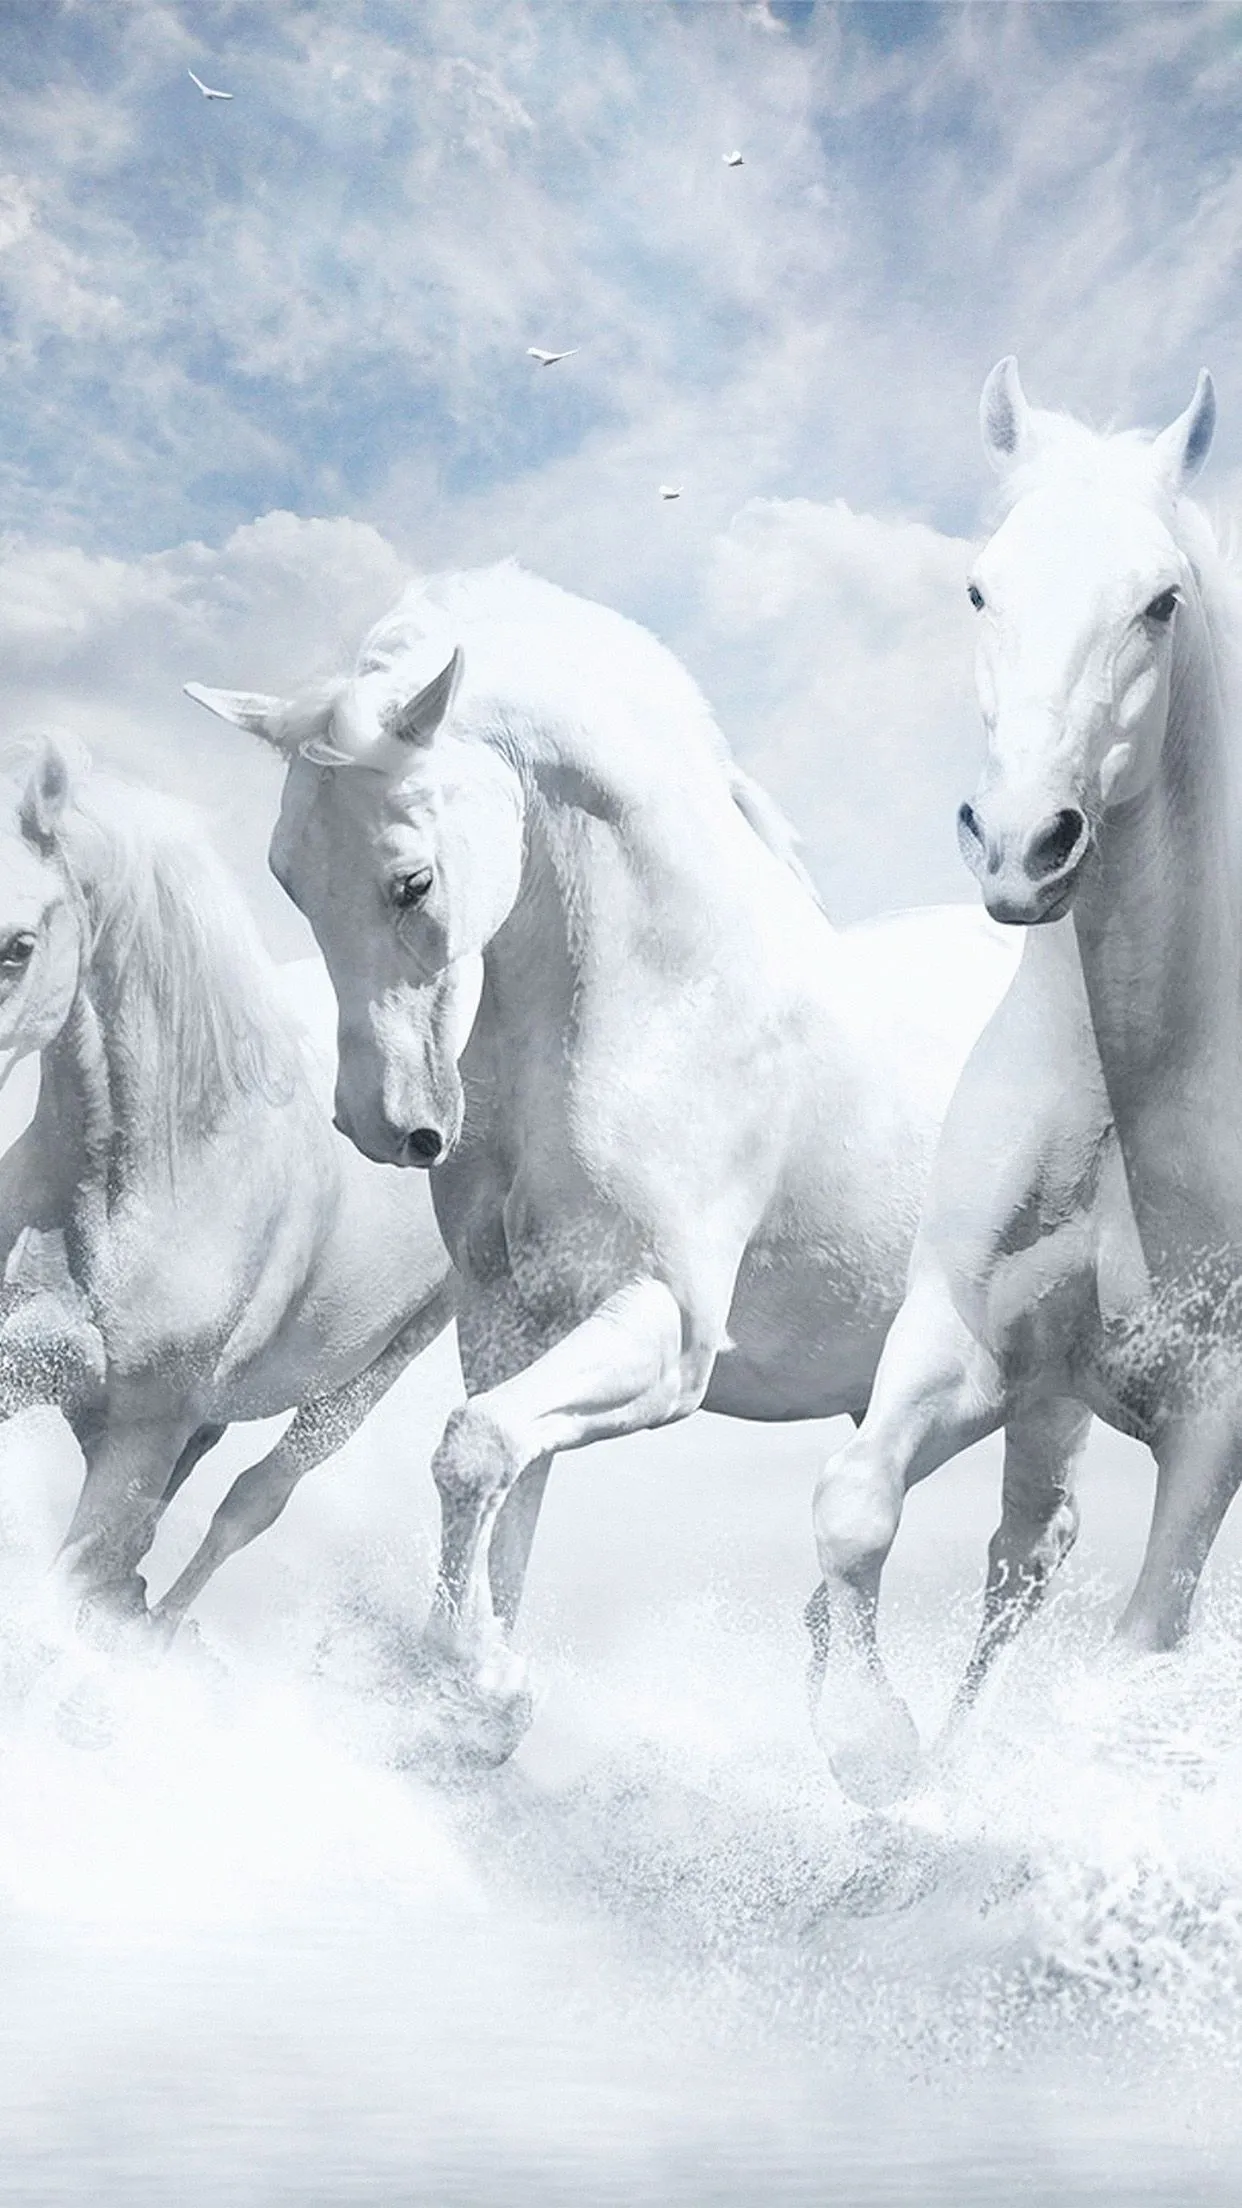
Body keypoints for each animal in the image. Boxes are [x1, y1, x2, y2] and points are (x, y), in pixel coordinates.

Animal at [186, 561, 1079, 1767]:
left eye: (411, 882)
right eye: (287, 878)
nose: (386, 1126)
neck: (661, 1008)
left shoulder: (666, 1328)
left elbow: (475, 1451)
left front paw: (476, 1683)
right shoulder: (512, 1320)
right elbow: (504, 1475)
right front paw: (480, 1694)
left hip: (1049, 1382)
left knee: (1028, 1552)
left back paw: (934, 1768)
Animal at [804, 361, 1242, 1803]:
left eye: (1159, 602)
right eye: (980, 589)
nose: (1019, 846)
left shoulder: (1211, 1418)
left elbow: (1143, 1644)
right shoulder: (970, 1339)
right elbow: (854, 1504)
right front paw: (869, 1747)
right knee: (1020, 1554)